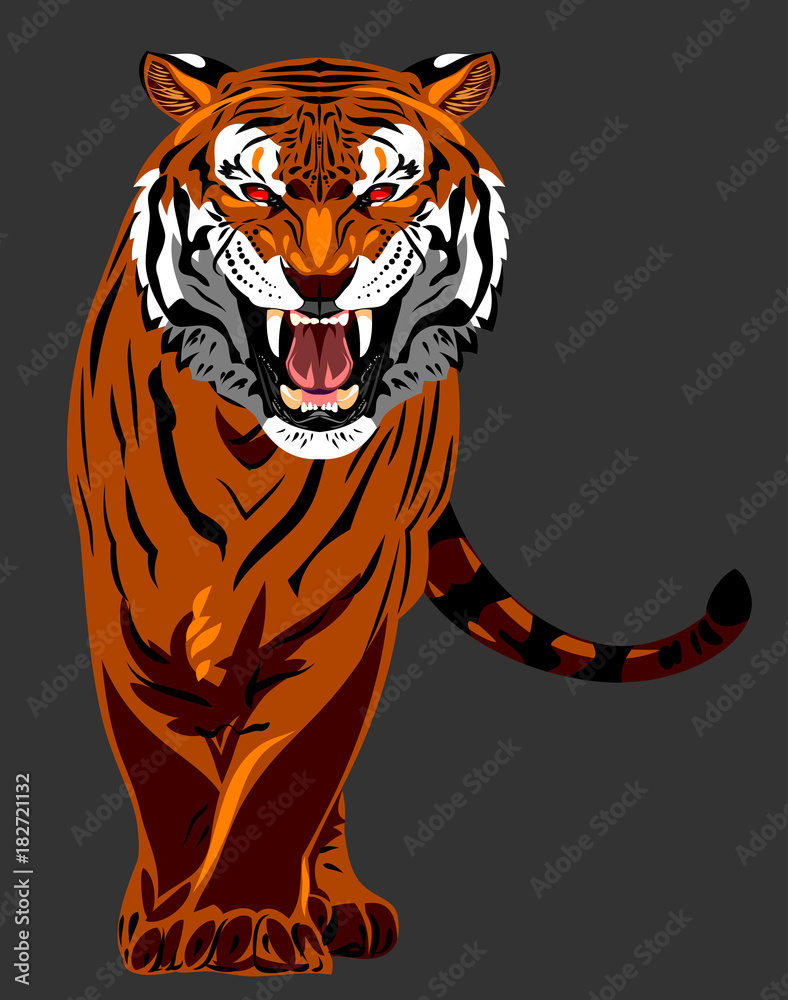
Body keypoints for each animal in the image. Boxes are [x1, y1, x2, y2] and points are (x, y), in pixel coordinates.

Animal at [66, 50, 752, 978]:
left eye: (385, 190)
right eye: (255, 190)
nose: (320, 284)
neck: (249, 442)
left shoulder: (343, 613)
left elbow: (290, 772)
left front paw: (245, 923)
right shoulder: (129, 608)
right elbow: (166, 773)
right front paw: (169, 925)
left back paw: (339, 907)